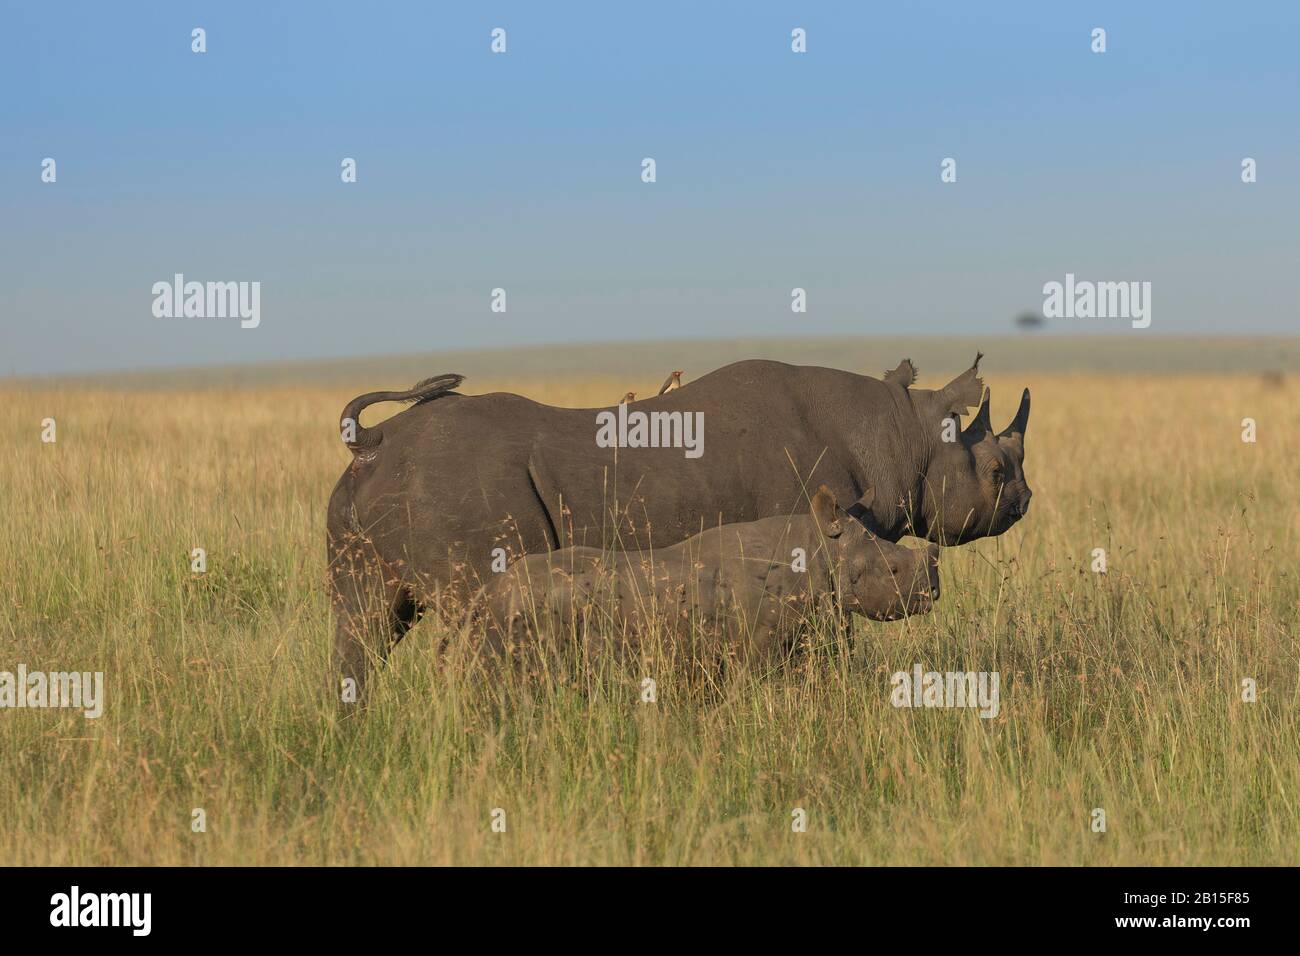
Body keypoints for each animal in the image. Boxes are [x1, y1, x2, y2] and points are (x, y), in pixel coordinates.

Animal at [473, 486, 941, 665]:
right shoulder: (756, 647)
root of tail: (489, 593)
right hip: (525, 613)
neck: (818, 547)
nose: (933, 593)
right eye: (892, 570)